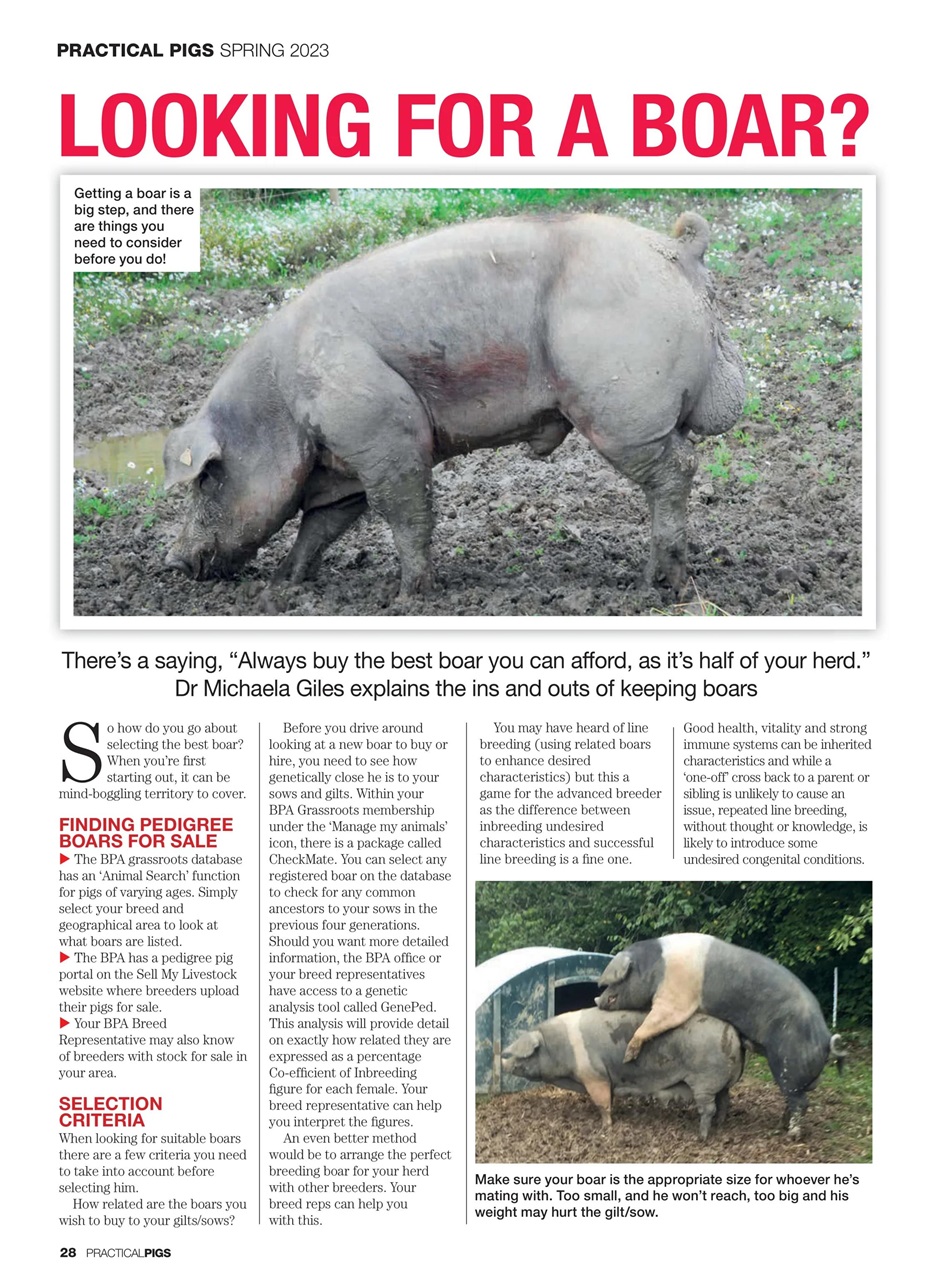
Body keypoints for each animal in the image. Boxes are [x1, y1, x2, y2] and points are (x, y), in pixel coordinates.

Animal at [163, 211, 745, 597]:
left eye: (207, 478)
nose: (172, 562)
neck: (278, 402)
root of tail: (678, 251)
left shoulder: (385, 432)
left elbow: (404, 511)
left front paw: (409, 596)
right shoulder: (345, 462)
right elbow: (321, 524)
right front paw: (283, 586)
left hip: (622, 410)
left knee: (677, 469)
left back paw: (661, 584)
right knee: (680, 463)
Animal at [501, 1007, 744, 1138]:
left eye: (522, 1054)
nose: (502, 1061)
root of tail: (733, 1034)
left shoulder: (594, 1075)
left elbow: (602, 1103)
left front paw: (606, 1127)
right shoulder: (606, 1079)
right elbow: (610, 1099)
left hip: (704, 1080)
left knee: (709, 1108)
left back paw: (701, 1137)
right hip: (720, 1082)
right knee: (724, 1101)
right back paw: (720, 1125)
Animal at [596, 934, 845, 1137]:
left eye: (618, 979)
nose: (597, 1000)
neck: (657, 968)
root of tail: (826, 1040)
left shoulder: (675, 997)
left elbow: (656, 1019)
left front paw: (628, 1056)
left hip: (788, 1064)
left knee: (800, 1101)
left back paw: (791, 1134)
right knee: (795, 1099)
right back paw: (781, 1126)